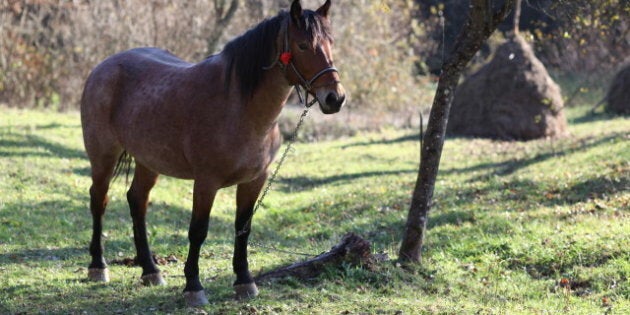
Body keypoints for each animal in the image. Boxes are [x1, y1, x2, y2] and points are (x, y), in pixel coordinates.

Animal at [80, 0, 346, 306]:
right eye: (303, 45)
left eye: (330, 42)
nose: (335, 98)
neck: (238, 107)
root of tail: (104, 66)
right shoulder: (206, 182)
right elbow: (198, 231)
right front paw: (193, 287)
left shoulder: (254, 181)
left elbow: (243, 228)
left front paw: (244, 281)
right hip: (103, 155)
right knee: (99, 200)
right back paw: (98, 266)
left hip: (149, 162)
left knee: (137, 201)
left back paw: (150, 270)